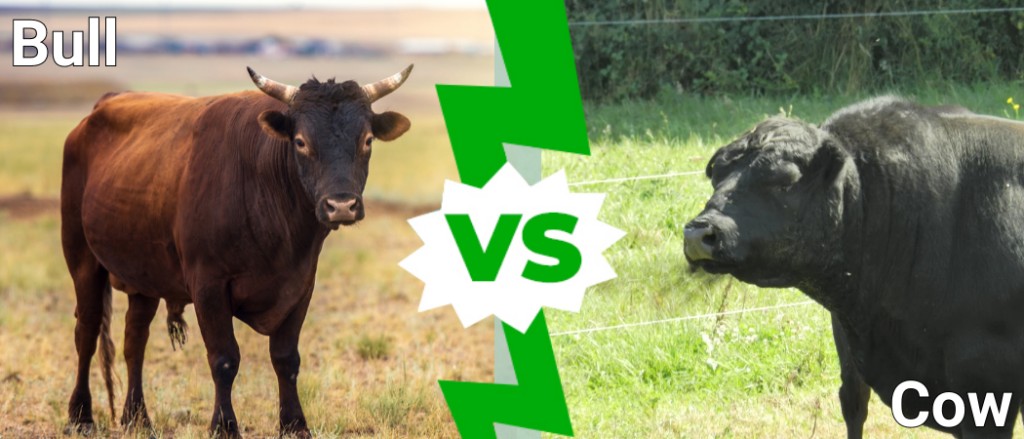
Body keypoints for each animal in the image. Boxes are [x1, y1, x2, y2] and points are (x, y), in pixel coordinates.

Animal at [60, 65, 413, 438]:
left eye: (367, 140)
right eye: (301, 142)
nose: (341, 206)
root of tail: (99, 109)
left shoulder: (301, 286)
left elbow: (286, 358)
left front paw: (294, 424)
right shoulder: (209, 287)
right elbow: (225, 358)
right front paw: (225, 426)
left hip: (144, 276)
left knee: (134, 340)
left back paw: (137, 417)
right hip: (82, 260)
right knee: (87, 332)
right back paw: (81, 415)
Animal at [684, 96, 1024, 438]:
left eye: (785, 180)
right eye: (716, 175)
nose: (700, 233)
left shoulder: (984, 379)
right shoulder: (849, 344)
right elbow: (854, 405)